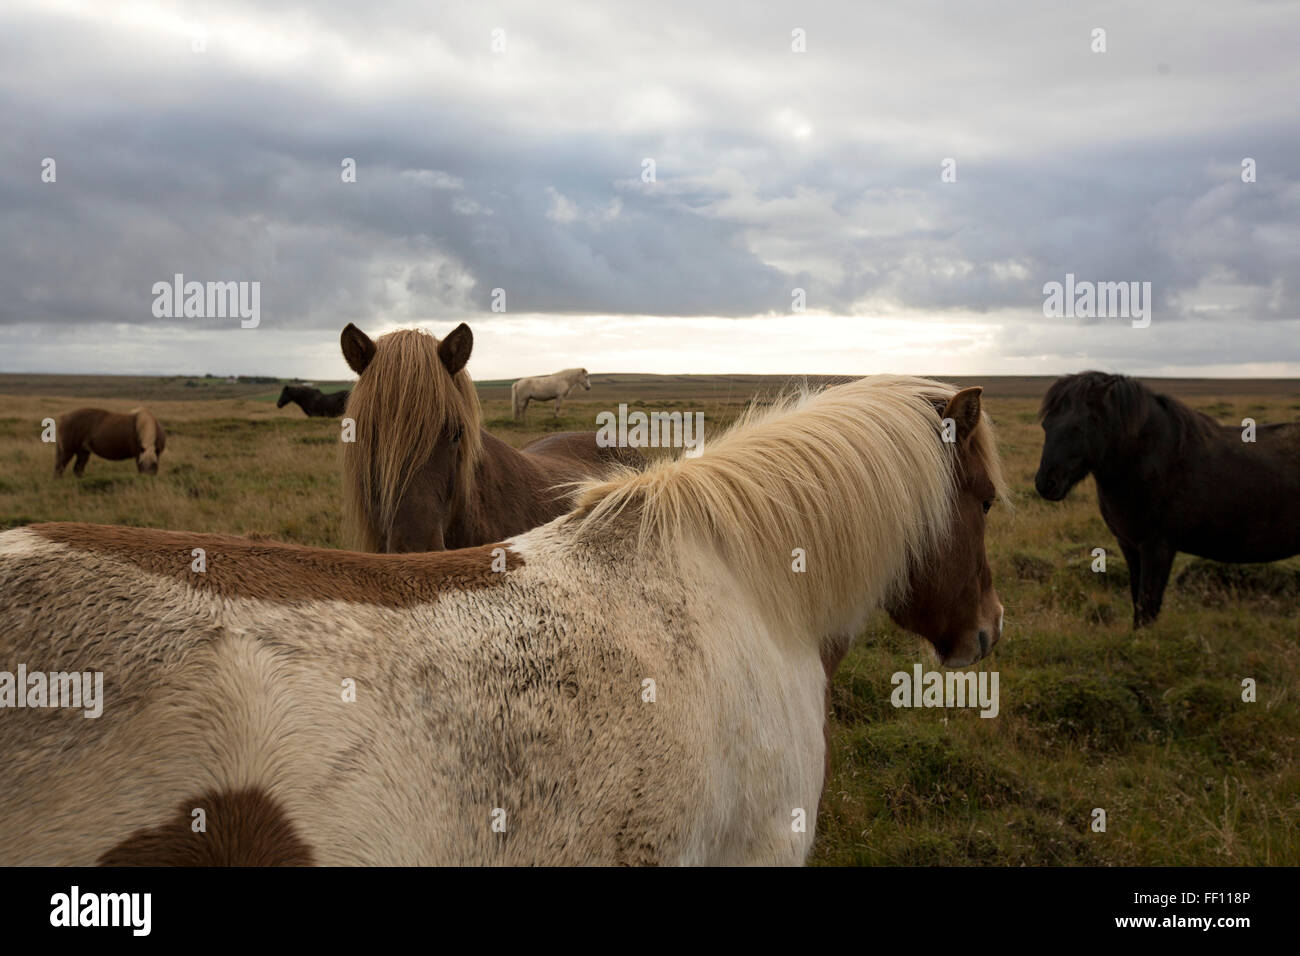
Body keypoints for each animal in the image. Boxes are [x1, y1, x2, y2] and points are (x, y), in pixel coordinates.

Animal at [1034, 369, 1300, 629]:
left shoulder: (1158, 547)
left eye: (1079, 427)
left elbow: (1148, 606)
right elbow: (1138, 600)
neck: (1154, 462)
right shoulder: (1130, 546)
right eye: (1046, 425)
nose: (1046, 483)